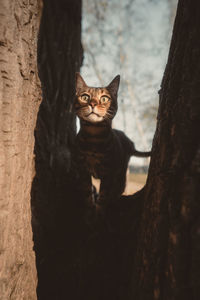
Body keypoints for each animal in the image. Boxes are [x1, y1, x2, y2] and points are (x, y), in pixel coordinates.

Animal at [74, 71, 151, 210]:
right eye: (85, 97)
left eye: (104, 98)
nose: (92, 104)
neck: (93, 137)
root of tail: (130, 143)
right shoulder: (82, 170)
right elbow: (87, 194)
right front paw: (89, 211)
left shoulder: (109, 172)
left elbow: (103, 197)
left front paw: (99, 212)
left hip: (121, 173)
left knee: (118, 189)